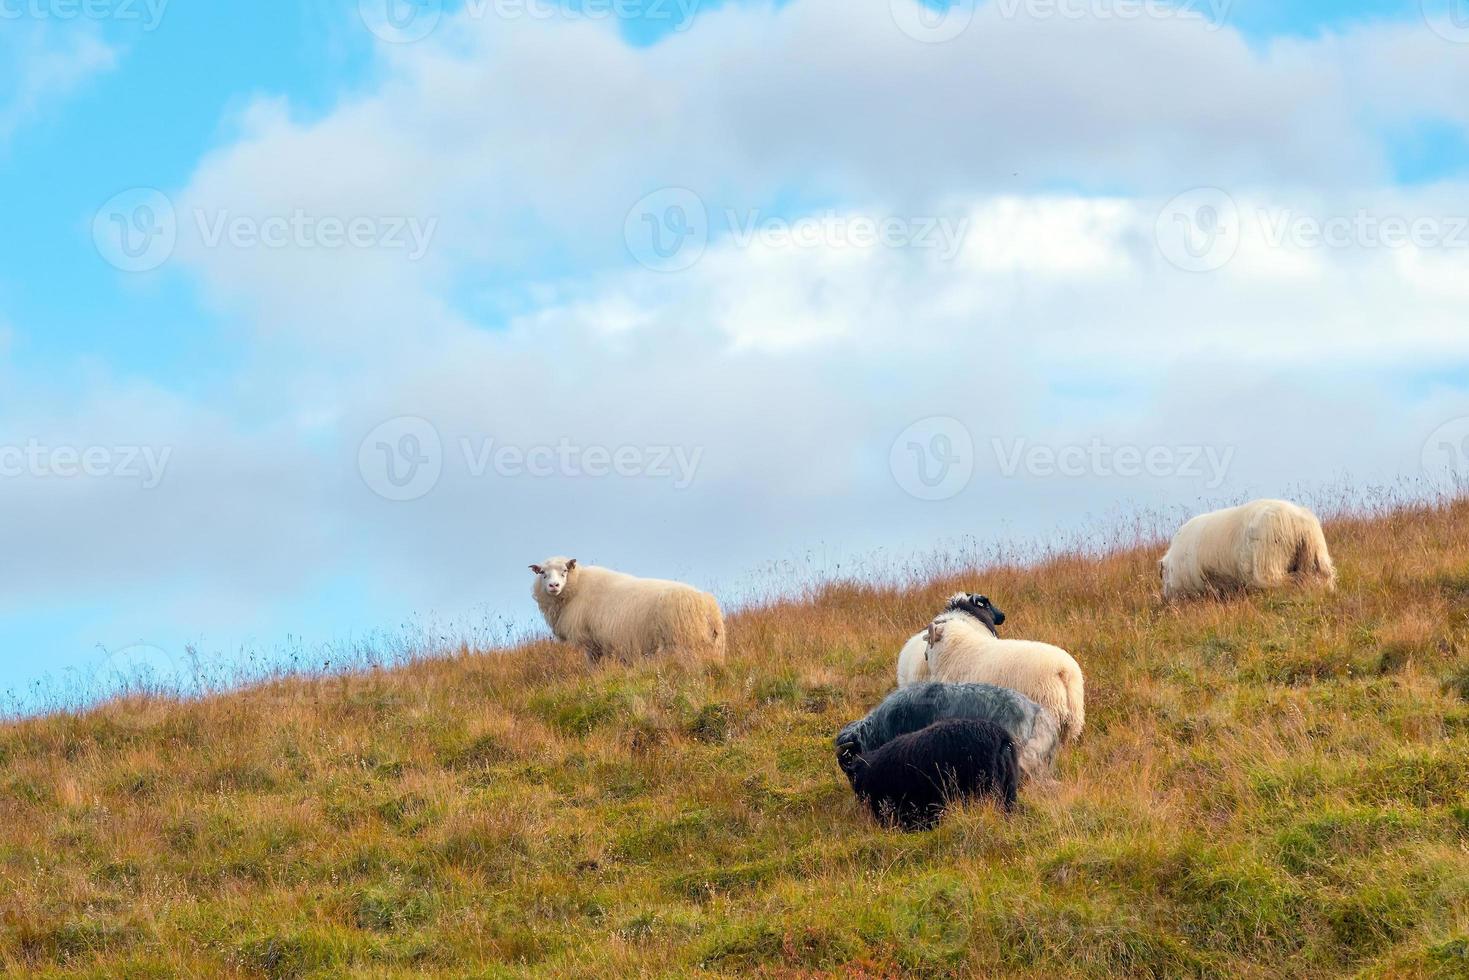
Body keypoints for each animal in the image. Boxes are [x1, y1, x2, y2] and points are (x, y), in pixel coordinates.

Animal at [534, 555, 728, 664]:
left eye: (564, 571)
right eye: (542, 573)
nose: (553, 585)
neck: (577, 586)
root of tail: (707, 606)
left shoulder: (590, 641)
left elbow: (593, 666)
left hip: (685, 644)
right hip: (713, 647)